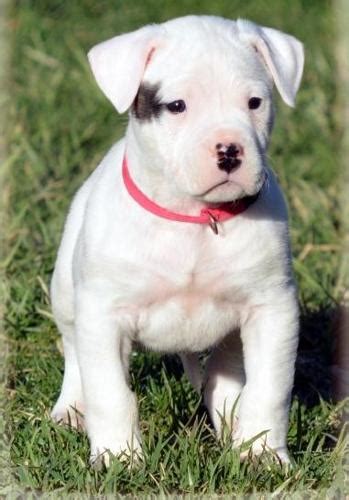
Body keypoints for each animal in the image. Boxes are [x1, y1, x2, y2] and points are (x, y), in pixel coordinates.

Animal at [49, 15, 302, 466]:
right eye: (177, 106)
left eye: (255, 102)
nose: (229, 150)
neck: (195, 218)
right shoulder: (104, 315)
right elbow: (110, 393)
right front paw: (118, 459)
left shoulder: (272, 308)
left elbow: (269, 390)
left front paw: (262, 455)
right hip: (65, 294)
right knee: (75, 352)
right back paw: (72, 409)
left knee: (224, 372)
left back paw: (230, 425)